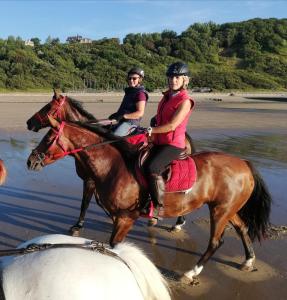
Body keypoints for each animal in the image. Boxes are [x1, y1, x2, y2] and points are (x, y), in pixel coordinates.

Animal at [25, 92, 190, 233]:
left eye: (48, 107)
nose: (29, 122)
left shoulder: (90, 180)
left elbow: (85, 202)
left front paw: (79, 225)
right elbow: (98, 201)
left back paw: (177, 222)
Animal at [27, 118, 272, 284]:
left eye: (48, 138)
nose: (30, 161)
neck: (114, 167)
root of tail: (243, 163)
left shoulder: (125, 218)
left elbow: (115, 246)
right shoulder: (116, 216)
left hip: (220, 211)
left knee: (215, 242)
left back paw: (190, 273)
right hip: (228, 209)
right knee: (242, 228)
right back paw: (248, 261)